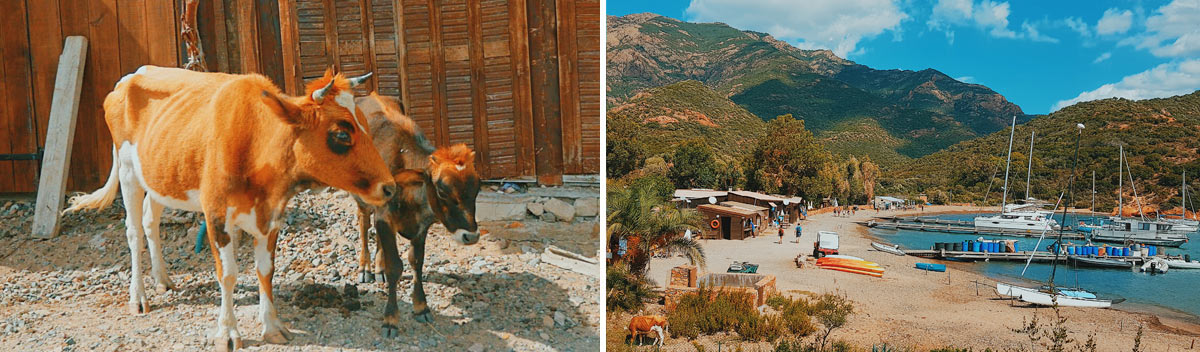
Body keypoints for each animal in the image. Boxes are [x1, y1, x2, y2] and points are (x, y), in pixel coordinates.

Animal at [66, 67, 393, 348]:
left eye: (365, 124)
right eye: (341, 134)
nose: (389, 187)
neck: (254, 142)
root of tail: (130, 77)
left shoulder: (272, 215)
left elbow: (265, 270)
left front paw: (272, 327)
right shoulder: (216, 214)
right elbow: (228, 273)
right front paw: (228, 333)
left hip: (161, 175)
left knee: (150, 221)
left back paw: (163, 279)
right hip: (128, 172)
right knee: (134, 232)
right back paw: (138, 297)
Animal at [350, 91, 480, 333]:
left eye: (478, 188)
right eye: (442, 190)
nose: (471, 236)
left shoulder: (421, 226)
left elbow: (416, 262)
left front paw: (421, 307)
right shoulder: (384, 216)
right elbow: (396, 266)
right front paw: (390, 318)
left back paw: (378, 267)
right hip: (361, 199)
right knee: (363, 222)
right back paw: (366, 268)